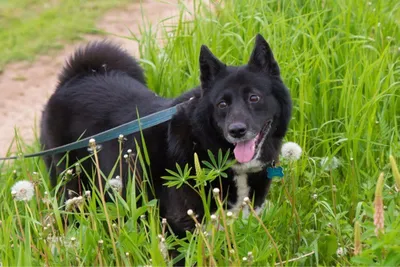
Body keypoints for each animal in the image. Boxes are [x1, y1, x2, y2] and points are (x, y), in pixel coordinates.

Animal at [39, 34, 290, 238]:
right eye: (222, 104)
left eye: (254, 98)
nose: (236, 131)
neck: (203, 142)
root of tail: (76, 77)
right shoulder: (179, 227)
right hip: (71, 187)